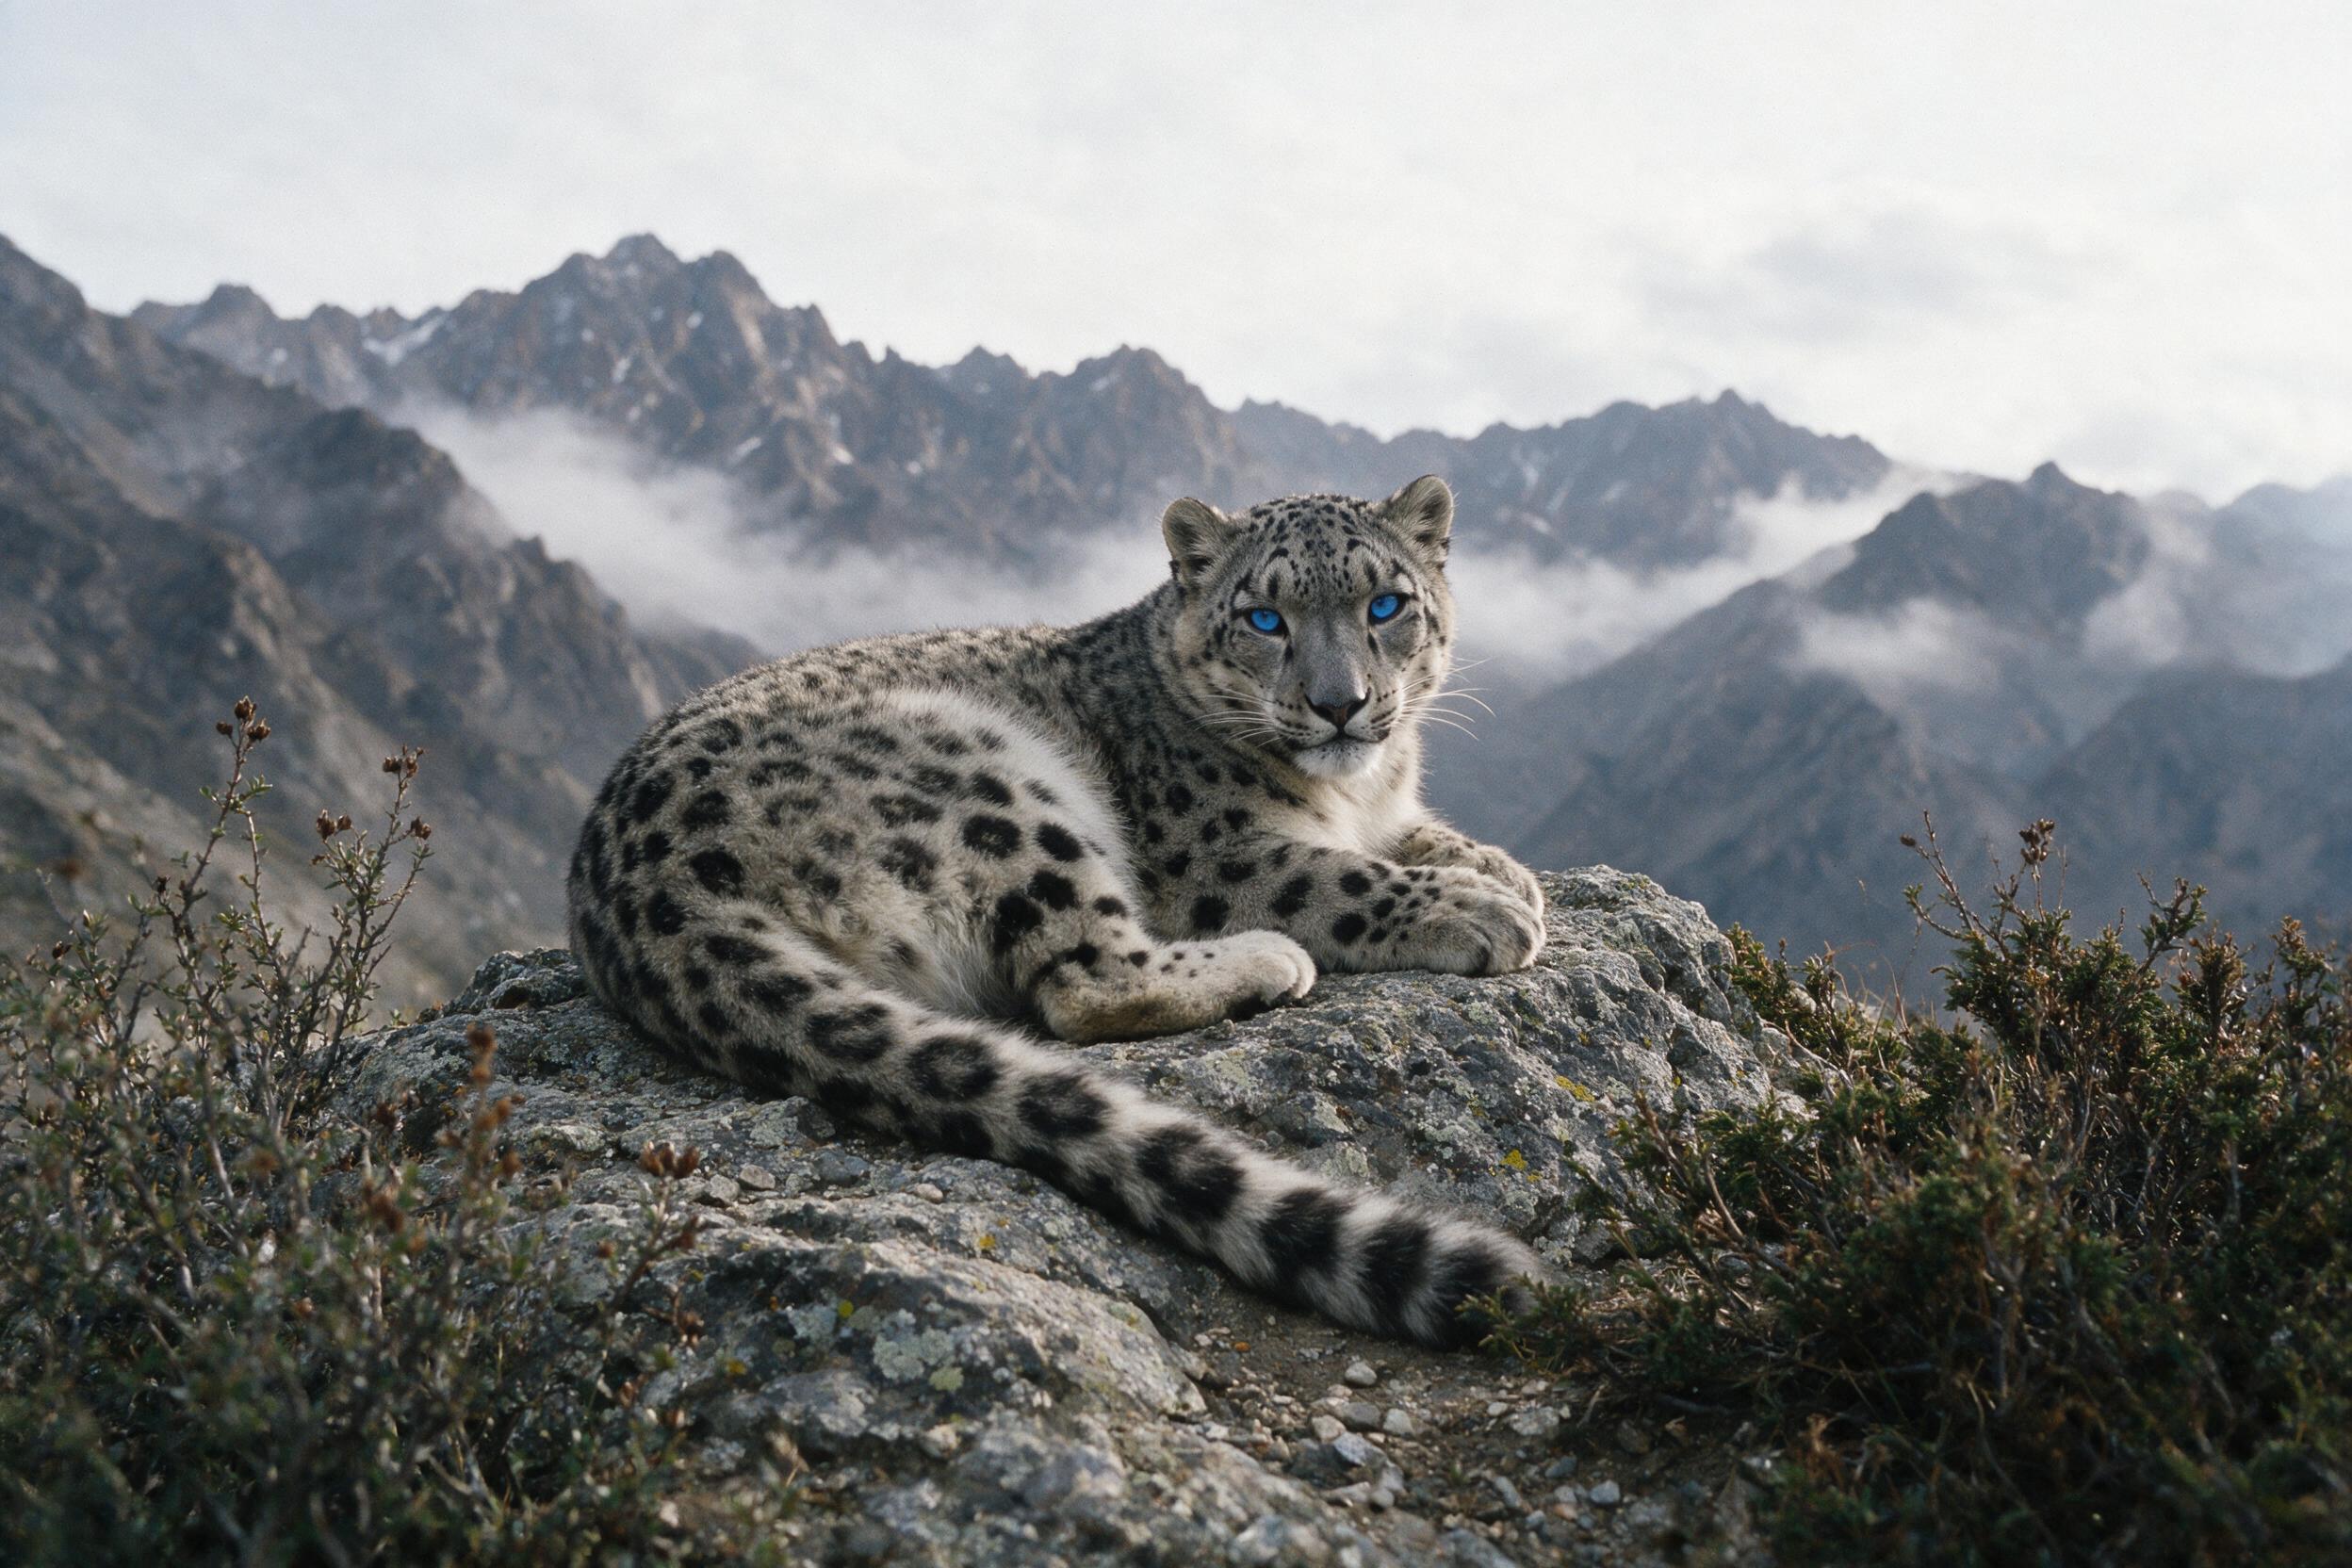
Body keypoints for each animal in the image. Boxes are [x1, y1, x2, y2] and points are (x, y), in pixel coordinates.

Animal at [566, 475, 1549, 1346]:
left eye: (1386, 604)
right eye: (1264, 619)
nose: (1340, 705)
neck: (1358, 790)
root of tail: (634, 894)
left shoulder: (1386, 808)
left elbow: (1417, 835)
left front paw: (1504, 871)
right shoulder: (1218, 857)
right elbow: (1341, 878)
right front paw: (1482, 908)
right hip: (993, 786)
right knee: (1088, 981)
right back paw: (1265, 960)